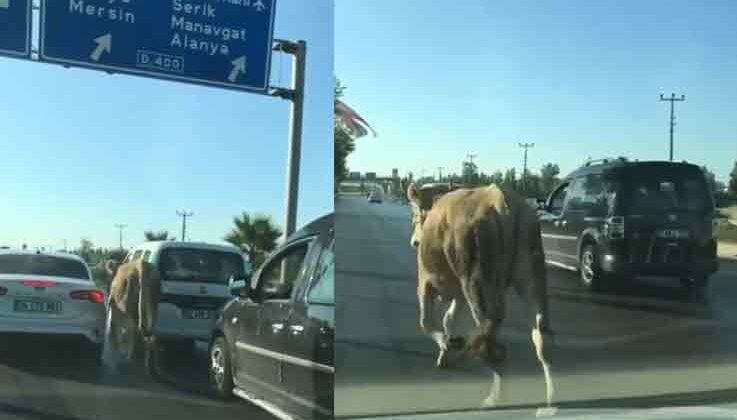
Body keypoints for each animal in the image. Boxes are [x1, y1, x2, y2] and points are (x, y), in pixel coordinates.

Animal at [408, 183, 552, 406]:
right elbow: (449, 318)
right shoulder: (460, 293)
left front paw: (446, 347)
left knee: (487, 328)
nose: (414, 242)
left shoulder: (425, 282)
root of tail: (499, 200)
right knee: (540, 334)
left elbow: (426, 322)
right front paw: (447, 347)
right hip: (530, 274)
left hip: (474, 280)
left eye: (415, 215)